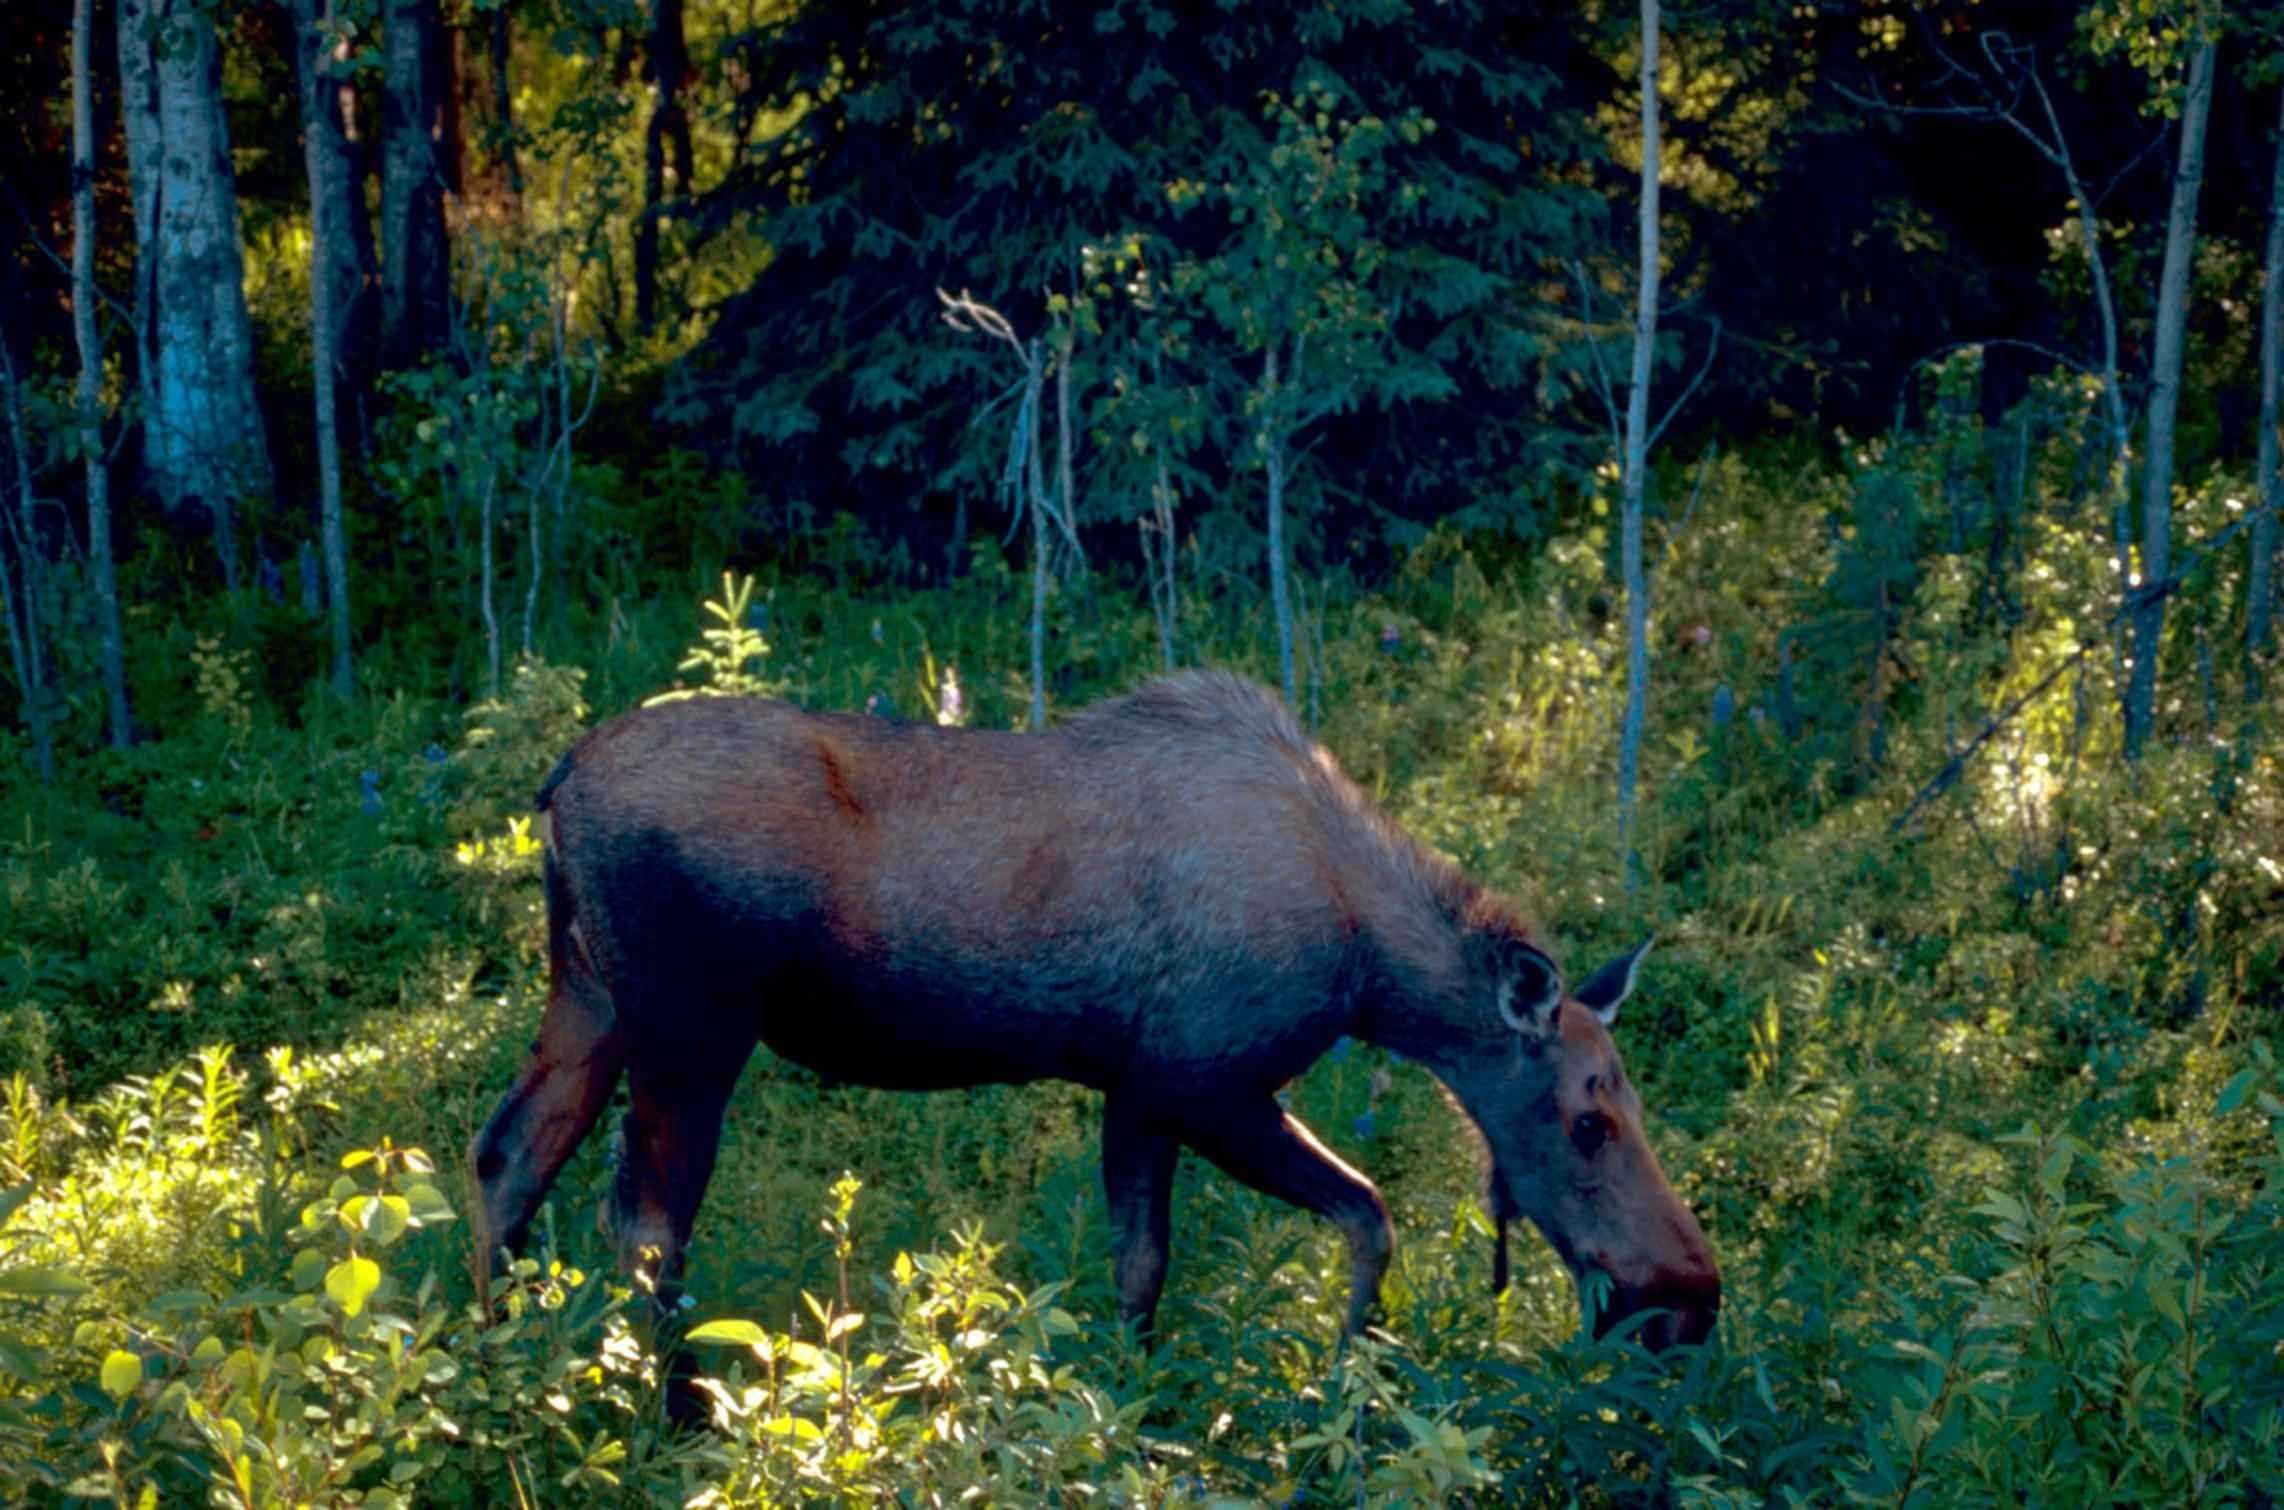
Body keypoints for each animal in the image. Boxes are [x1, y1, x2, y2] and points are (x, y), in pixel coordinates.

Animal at [472, 667, 1717, 1352]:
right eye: (1589, 1119)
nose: (1689, 1294)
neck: (1369, 965)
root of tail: (557, 784)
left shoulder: (1141, 1091)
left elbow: (1141, 1269)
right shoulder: (1195, 1076)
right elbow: (1365, 1215)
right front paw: (1337, 1383)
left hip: (589, 994)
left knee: (505, 1156)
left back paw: (495, 1371)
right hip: (692, 1025)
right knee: (645, 1226)